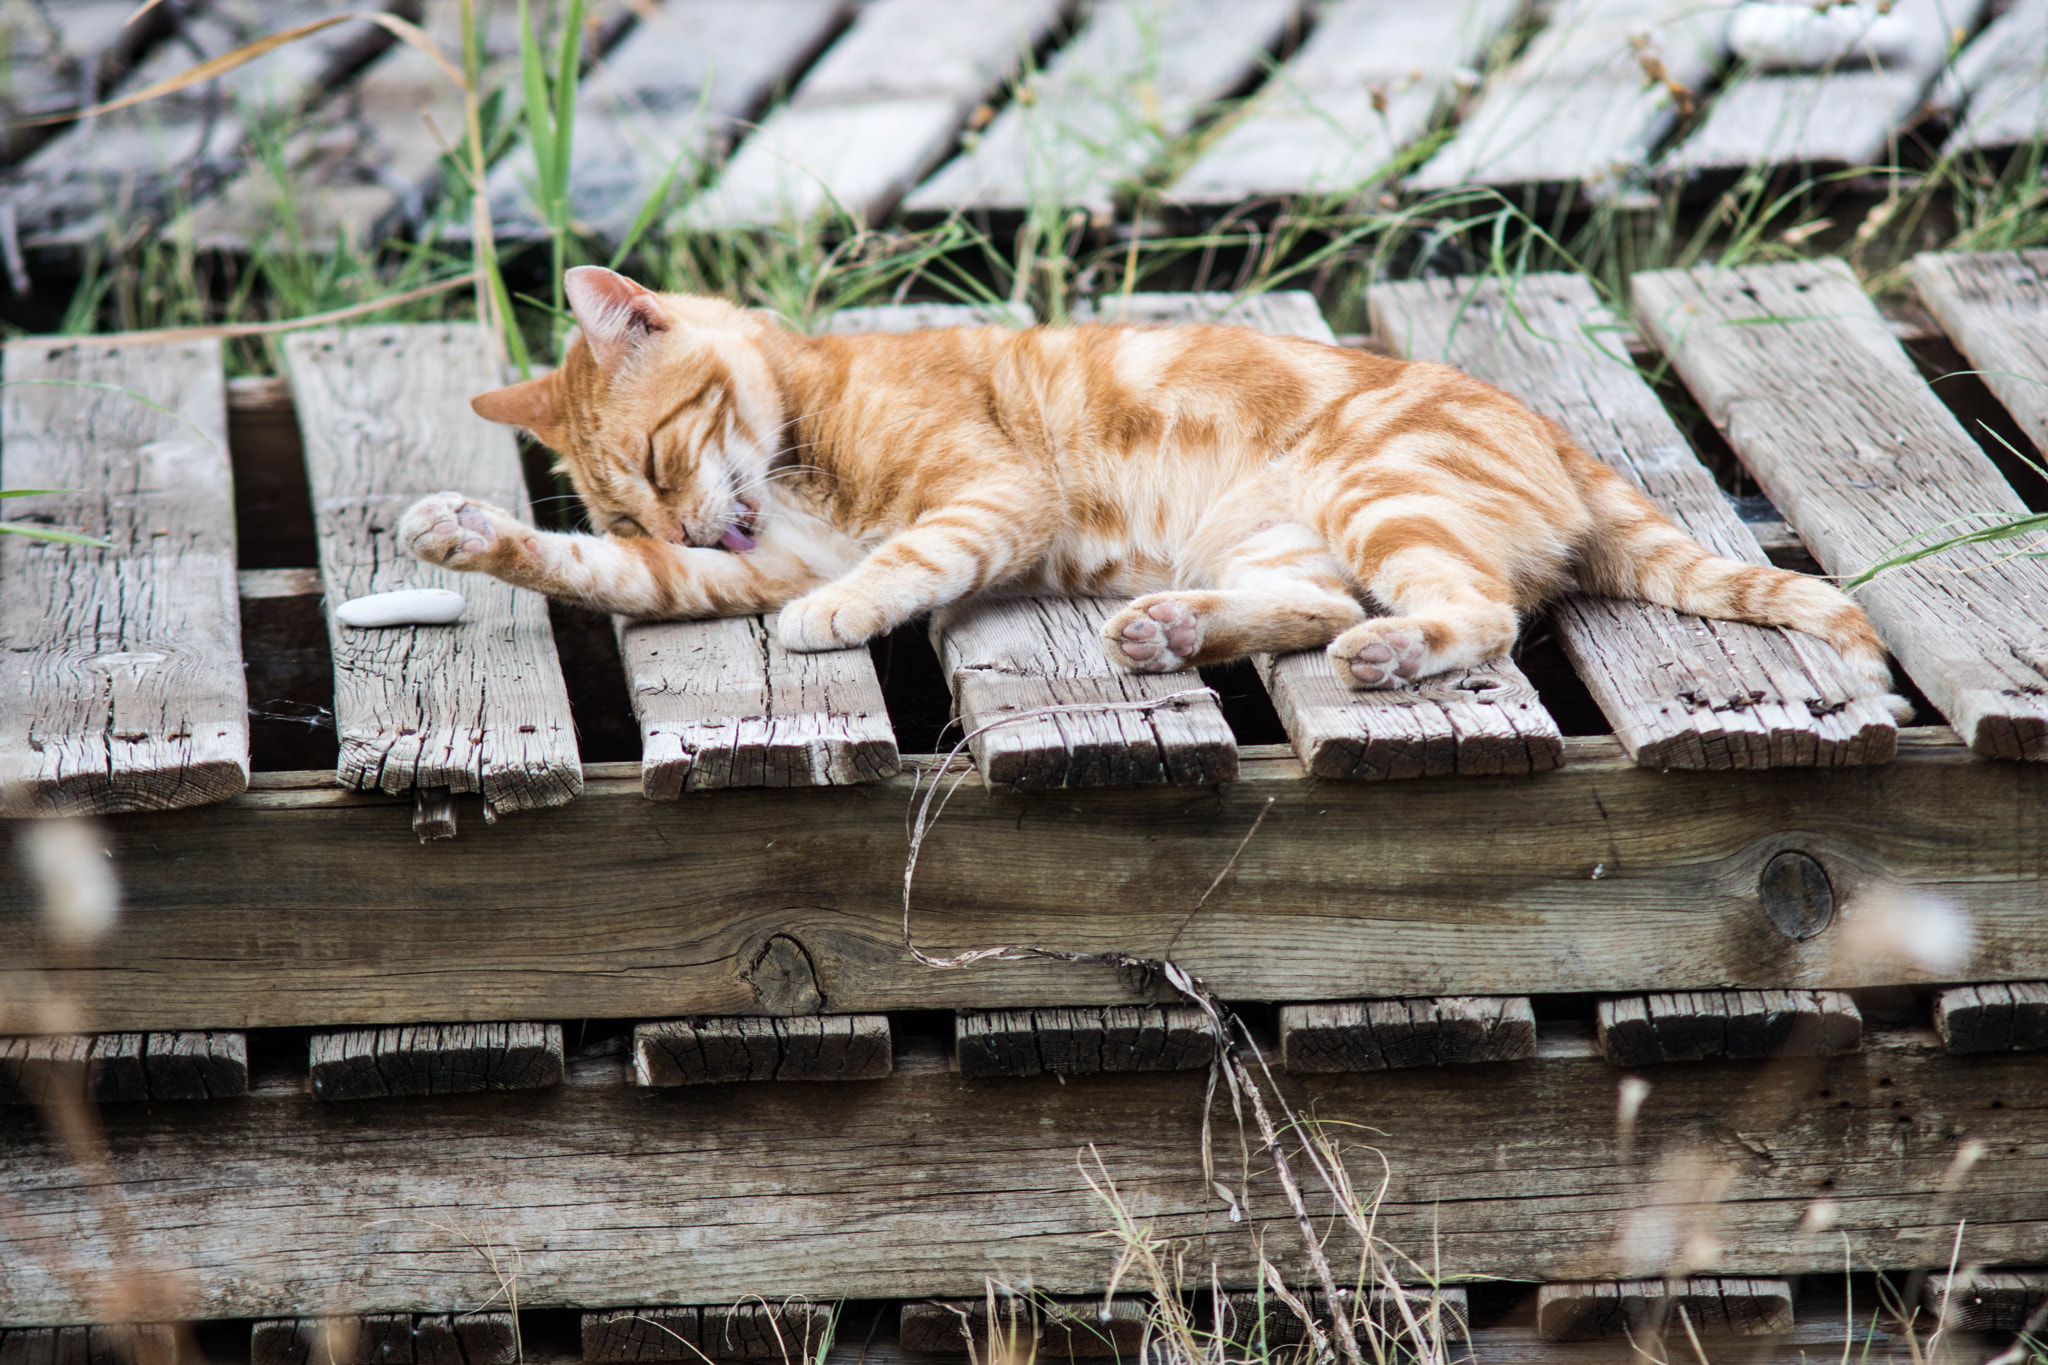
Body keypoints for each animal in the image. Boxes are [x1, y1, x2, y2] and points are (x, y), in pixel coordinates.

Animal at [399, 272, 1900, 712]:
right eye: (625, 512)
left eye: (656, 466)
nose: (681, 518)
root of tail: (1547, 426)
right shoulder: (726, 567)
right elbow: (597, 579)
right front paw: (460, 529)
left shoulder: (987, 494)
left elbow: (897, 562)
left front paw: (837, 617)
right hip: (1289, 545)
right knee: (1309, 610)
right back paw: (1170, 630)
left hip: (1382, 498)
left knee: (1468, 615)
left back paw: (1382, 653)